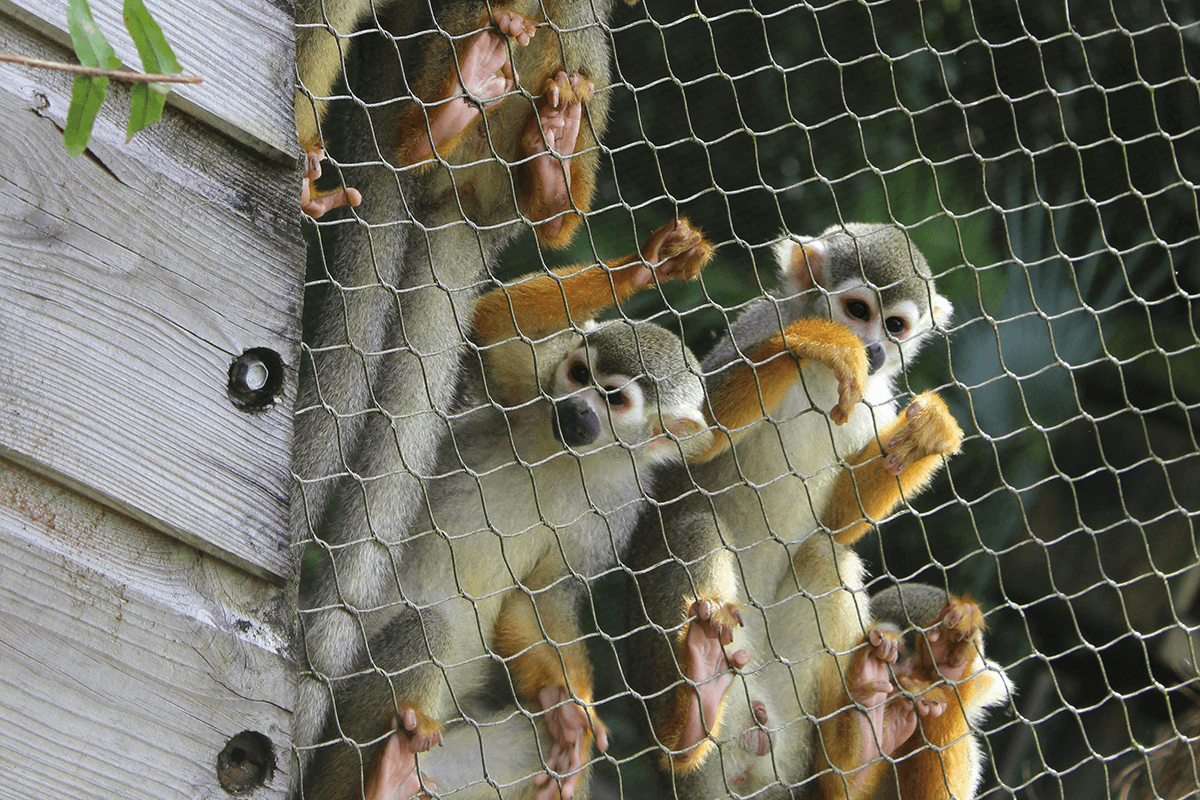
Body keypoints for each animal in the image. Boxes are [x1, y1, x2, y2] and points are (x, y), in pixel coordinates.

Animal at [298, 220, 710, 800]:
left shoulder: (619, 506)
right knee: (427, 628)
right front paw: (646, 266)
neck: (572, 456)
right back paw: (383, 775)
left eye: (613, 399)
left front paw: (572, 713)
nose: (576, 409)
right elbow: (491, 320)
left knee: (533, 742)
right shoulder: (530, 390)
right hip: (338, 741)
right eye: (578, 374)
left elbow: (538, 598)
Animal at [624, 221, 960, 796]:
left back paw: (852, 760)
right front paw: (819, 344)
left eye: (894, 325)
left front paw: (929, 434)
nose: (872, 348)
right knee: (694, 527)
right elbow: (695, 442)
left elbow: (840, 523)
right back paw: (689, 721)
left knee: (825, 556)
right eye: (856, 310)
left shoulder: (875, 399)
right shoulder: (760, 324)